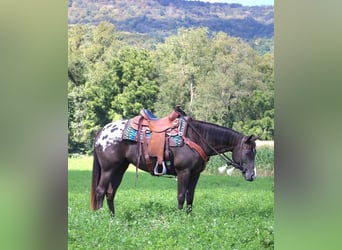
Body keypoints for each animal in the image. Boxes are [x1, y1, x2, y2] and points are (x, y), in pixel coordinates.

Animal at [90, 108, 256, 215]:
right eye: (248, 152)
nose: (252, 176)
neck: (197, 138)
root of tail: (102, 132)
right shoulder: (184, 172)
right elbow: (181, 195)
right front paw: (179, 218)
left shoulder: (195, 174)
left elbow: (190, 196)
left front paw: (189, 217)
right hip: (108, 169)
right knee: (100, 191)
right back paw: (101, 217)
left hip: (120, 168)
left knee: (110, 192)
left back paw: (113, 218)